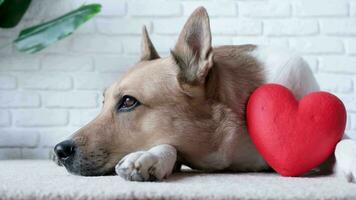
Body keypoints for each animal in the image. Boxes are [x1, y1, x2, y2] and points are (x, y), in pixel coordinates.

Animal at [53, 7, 356, 182]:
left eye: (128, 101)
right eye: (103, 101)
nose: (58, 150)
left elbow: (342, 143)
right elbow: (170, 145)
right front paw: (150, 157)